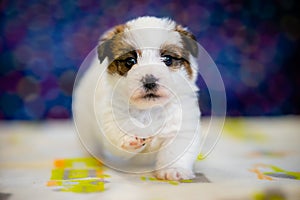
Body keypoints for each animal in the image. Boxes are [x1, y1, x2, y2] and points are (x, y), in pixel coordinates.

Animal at [73, 16, 202, 180]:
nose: (149, 81)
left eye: (167, 59)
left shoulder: (181, 127)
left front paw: (174, 170)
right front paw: (130, 138)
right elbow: (119, 133)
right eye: (130, 61)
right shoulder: (112, 118)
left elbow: (175, 151)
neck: (150, 109)